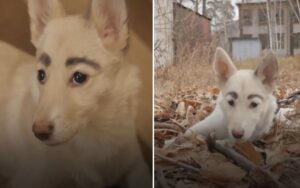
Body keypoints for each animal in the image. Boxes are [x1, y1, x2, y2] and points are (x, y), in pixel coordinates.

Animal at [0, 0, 151, 188]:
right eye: (41, 75)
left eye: (79, 77)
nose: (39, 132)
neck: (96, 133)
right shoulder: (27, 178)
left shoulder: (134, 163)